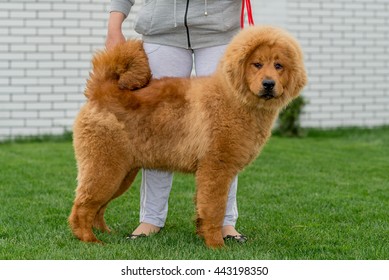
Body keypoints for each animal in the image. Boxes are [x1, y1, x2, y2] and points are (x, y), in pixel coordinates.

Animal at [69, 25, 306, 247]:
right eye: (256, 64)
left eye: (278, 66)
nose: (269, 84)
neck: (234, 99)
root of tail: (101, 90)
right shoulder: (215, 168)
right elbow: (214, 209)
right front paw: (217, 246)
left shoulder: (218, 171)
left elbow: (204, 208)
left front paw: (205, 236)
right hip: (106, 168)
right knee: (82, 207)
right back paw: (91, 240)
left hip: (123, 173)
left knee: (97, 207)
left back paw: (106, 233)